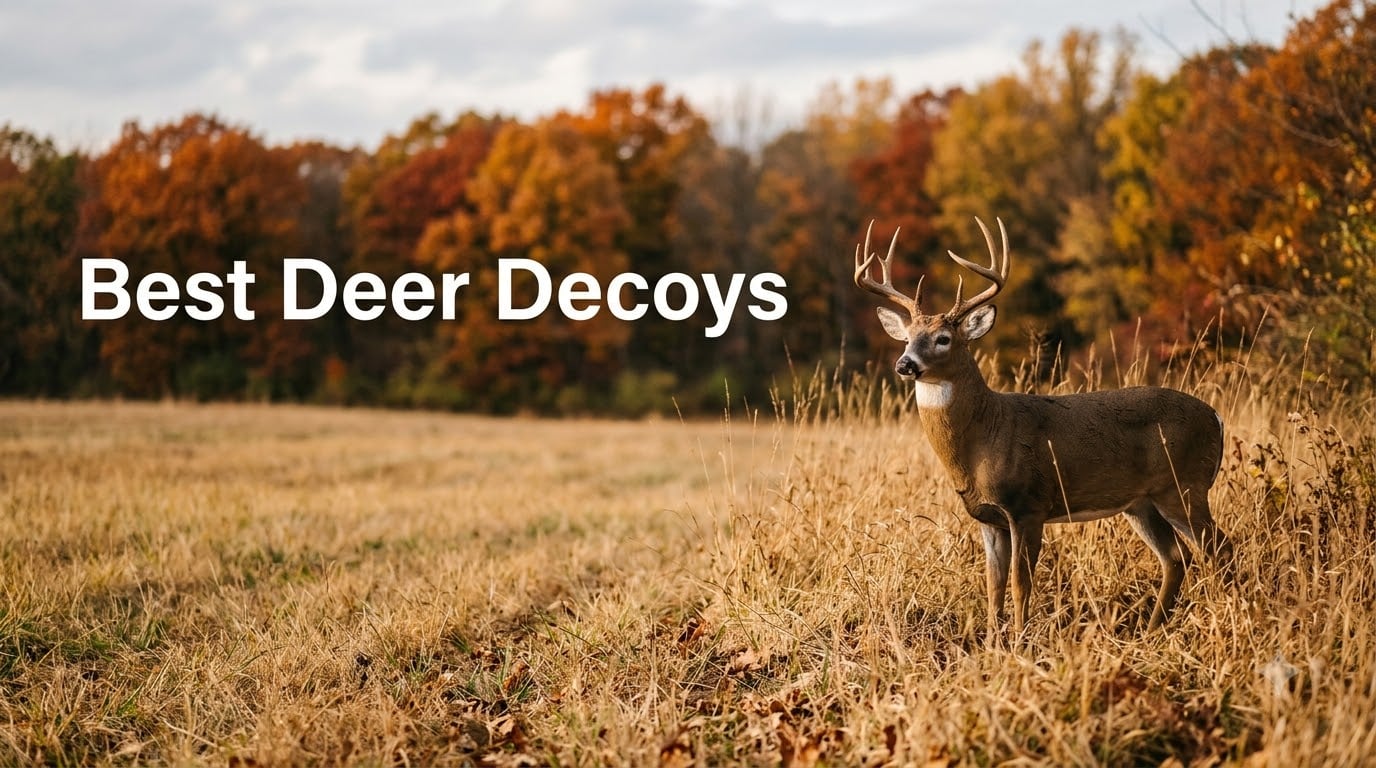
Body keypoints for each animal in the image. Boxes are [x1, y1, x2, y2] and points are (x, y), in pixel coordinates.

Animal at [854, 217, 1233, 634]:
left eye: (943, 338)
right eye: (906, 337)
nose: (905, 364)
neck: (984, 438)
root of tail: (1216, 417)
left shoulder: (1029, 505)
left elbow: (1021, 584)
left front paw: (1021, 640)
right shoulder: (988, 518)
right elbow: (993, 587)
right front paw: (994, 641)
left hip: (1184, 486)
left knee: (1221, 549)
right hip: (1142, 502)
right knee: (1176, 557)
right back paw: (1150, 632)